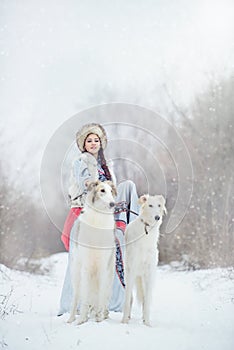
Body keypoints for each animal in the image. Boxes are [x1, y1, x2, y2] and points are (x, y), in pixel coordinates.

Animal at [67, 180, 117, 326]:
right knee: (77, 297)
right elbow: (84, 298)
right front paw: (82, 319)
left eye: (111, 191)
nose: (113, 204)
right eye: (102, 190)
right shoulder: (86, 266)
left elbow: (100, 297)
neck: (99, 219)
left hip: (109, 277)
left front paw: (99, 319)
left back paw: (102, 314)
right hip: (76, 273)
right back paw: (71, 318)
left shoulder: (103, 267)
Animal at [121, 194, 167, 326]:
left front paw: (147, 323)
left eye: (159, 205)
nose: (157, 217)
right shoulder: (131, 271)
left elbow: (146, 302)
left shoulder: (149, 273)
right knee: (130, 298)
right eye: (150, 205)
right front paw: (124, 322)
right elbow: (127, 300)